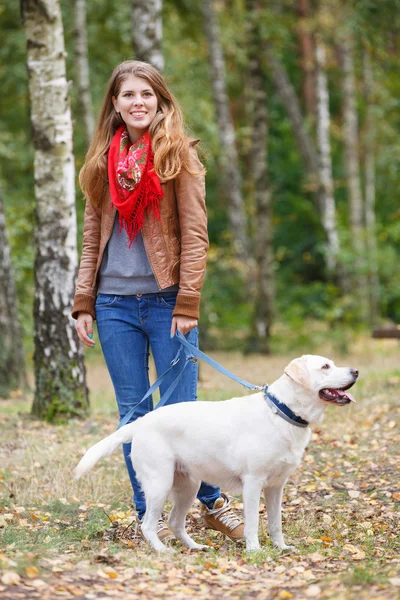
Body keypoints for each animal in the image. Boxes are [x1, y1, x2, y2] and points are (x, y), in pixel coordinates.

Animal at [73, 356, 358, 552]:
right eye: (325, 367)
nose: (356, 371)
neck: (282, 411)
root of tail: (140, 422)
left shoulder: (276, 487)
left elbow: (275, 523)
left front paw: (281, 548)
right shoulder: (253, 483)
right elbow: (254, 523)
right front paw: (255, 550)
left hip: (188, 486)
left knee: (176, 522)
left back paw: (195, 547)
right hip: (159, 484)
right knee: (148, 525)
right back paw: (162, 550)